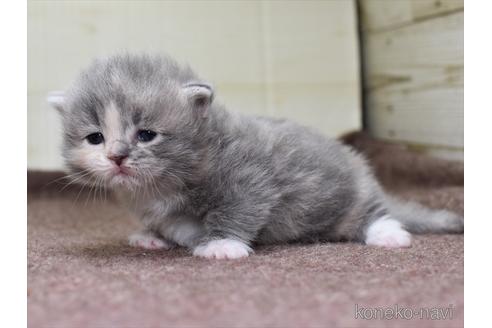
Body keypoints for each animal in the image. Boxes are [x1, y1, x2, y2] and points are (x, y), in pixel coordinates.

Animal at [47, 53, 466, 258]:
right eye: (95, 138)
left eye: (147, 135)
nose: (117, 157)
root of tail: (361, 170)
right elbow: (167, 223)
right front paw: (153, 237)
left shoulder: (249, 178)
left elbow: (237, 209)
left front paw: (221, 245)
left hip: (349, 194)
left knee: (375, 212)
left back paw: (388, 233)